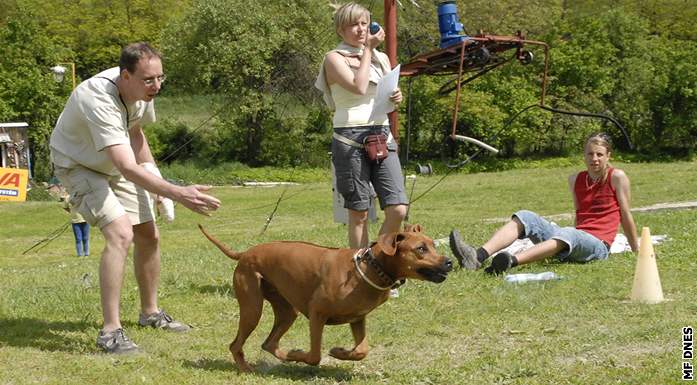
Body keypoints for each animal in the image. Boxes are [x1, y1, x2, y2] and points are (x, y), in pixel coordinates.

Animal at [198, 224, 454, 370]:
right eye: (421, 249)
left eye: (433, 245)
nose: (449, 262)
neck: (372, 267)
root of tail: (245, 253)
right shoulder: (317, 313)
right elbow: (314, 356)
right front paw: (303, 354)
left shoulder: (357, 318)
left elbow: (362, 350)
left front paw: (341, 353)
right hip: (252, 307)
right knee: (235, 345)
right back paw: (248, 368)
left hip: (286, 311)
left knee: (269, 343)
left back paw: (285, 356)